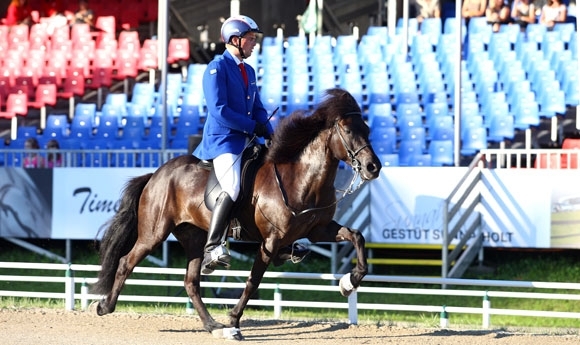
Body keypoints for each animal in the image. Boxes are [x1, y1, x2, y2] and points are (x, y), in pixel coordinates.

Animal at [90, 87, 380, 340]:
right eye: (347, 130)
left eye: (367, 129)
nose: (373, 167)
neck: (301, 178)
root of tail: (156, 174)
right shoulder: (270, 242)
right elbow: (253, 282)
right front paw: (233, 321)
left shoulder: (318, 230)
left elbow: (357, 236)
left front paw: (349, 282)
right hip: (154, 233)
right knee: (126, 262)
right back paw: (104, 306)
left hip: (194, 237)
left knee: (191, 282)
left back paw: (212, 326)